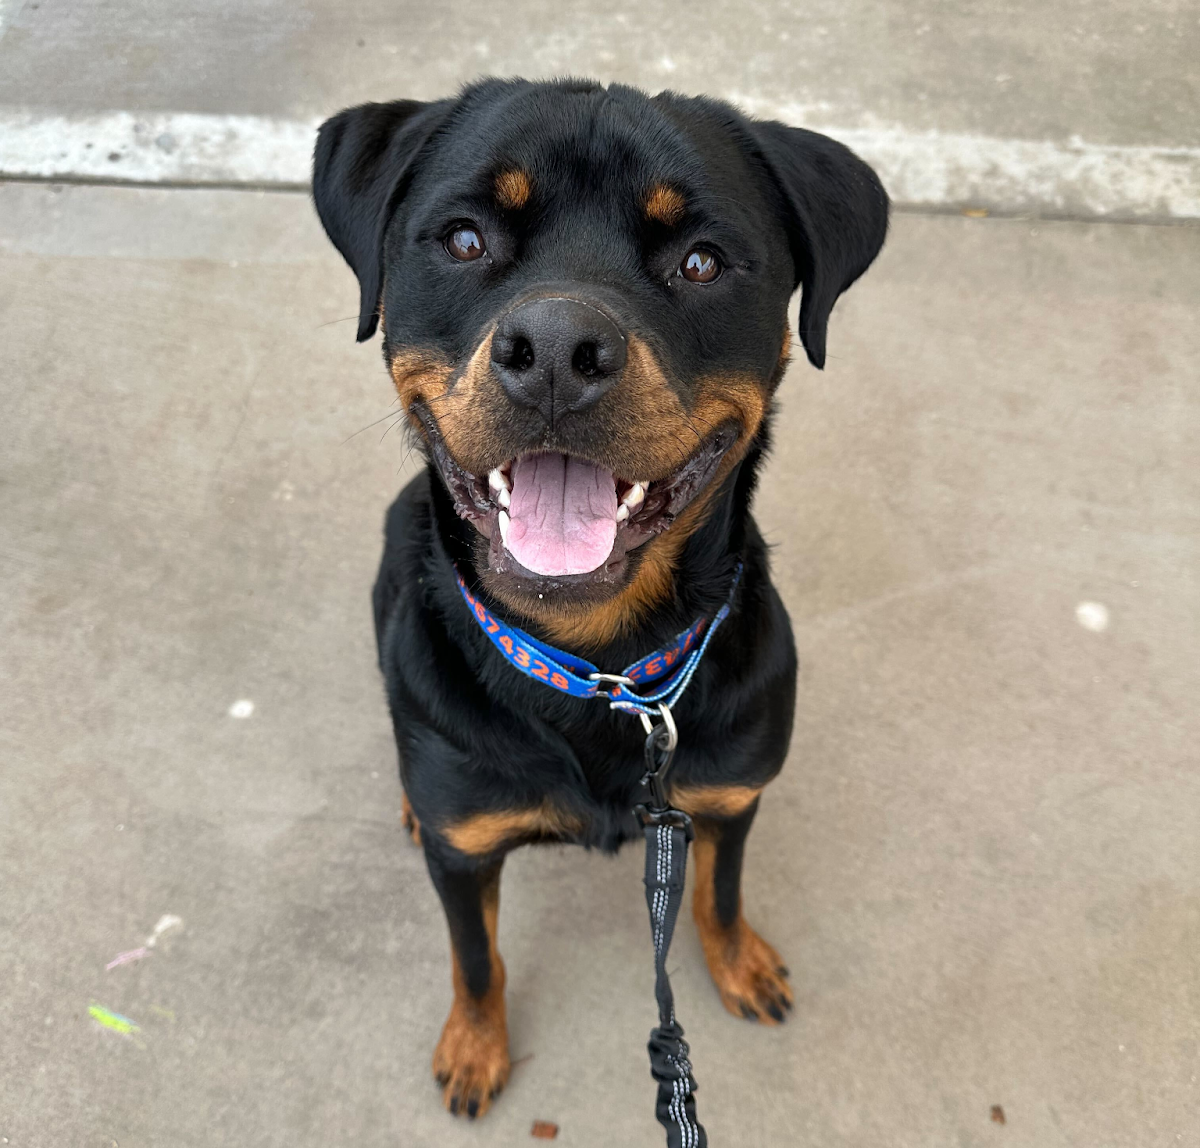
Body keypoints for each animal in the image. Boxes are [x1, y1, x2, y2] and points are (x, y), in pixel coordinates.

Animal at [314, 80, 888, 1118]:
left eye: (701, 261)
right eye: (464, 239)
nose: (554, 348)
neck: (604, 670)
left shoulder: (727, 796)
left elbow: (718, 892)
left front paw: (739, 961)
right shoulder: (465, 853)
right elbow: (474, 957)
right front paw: (475, 1044)